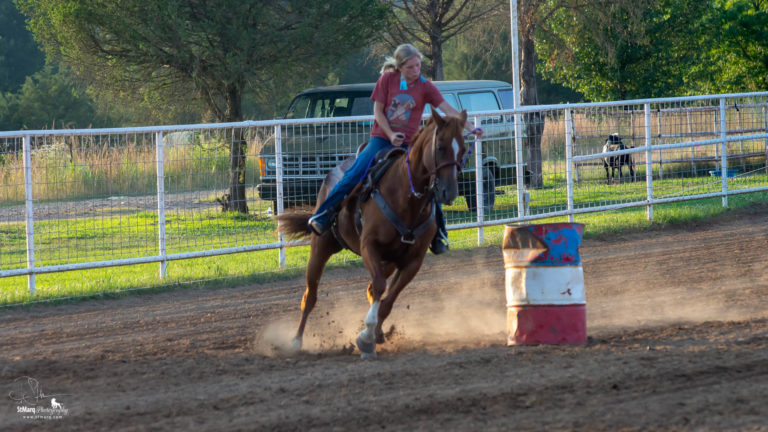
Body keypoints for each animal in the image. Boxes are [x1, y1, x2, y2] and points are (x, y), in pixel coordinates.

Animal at [276, 110, 468, 358]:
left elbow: (387, 300)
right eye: (441, 147)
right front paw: (367, 338)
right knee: (310, 296)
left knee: (371, 290)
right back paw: (296, 341)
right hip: (321, 246)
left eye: (463, 149)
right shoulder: (369, 246)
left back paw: (379, 332)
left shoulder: (413, 261)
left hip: (389, 262)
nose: (448, 192)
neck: (406, 198)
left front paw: (372, 334)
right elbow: (378, 286)